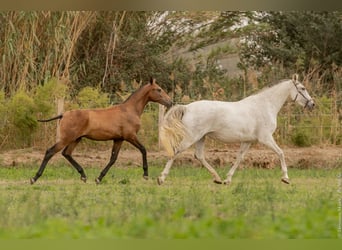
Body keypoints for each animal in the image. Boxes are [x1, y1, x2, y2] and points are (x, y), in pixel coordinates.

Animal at [158, 74, 316, 186]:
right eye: (302, 88)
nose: (312, 104)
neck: (265, 105)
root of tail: (187, 108)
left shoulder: (247, 141)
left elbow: (239, 158)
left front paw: (227, 180)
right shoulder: (265, 138)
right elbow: (281, 153)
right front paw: (286, 178)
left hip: (201, 137)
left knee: (199, 156)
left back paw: (217, 178)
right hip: (191, 137)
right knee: (176, 151)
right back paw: (161, 178)